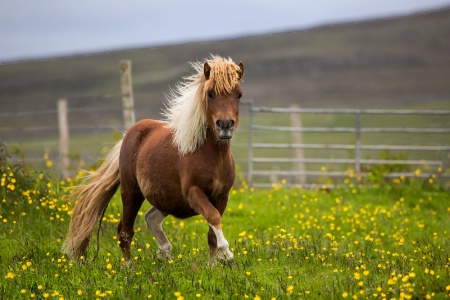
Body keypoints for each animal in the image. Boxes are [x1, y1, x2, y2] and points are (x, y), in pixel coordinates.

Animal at [62, 54, 244, 264]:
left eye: (239, 94)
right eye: (211, 94)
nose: (225, 125)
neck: (211, 156)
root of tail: (129, 135)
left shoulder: (222, 196)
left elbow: (211, 233)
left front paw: (212, 265)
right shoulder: (193, 192)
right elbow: (213, 217)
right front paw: (228, 253)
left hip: (166, 199)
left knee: (151, 218)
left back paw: (166, 254)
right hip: (131, 192)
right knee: (125, 231)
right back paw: (129, 267)